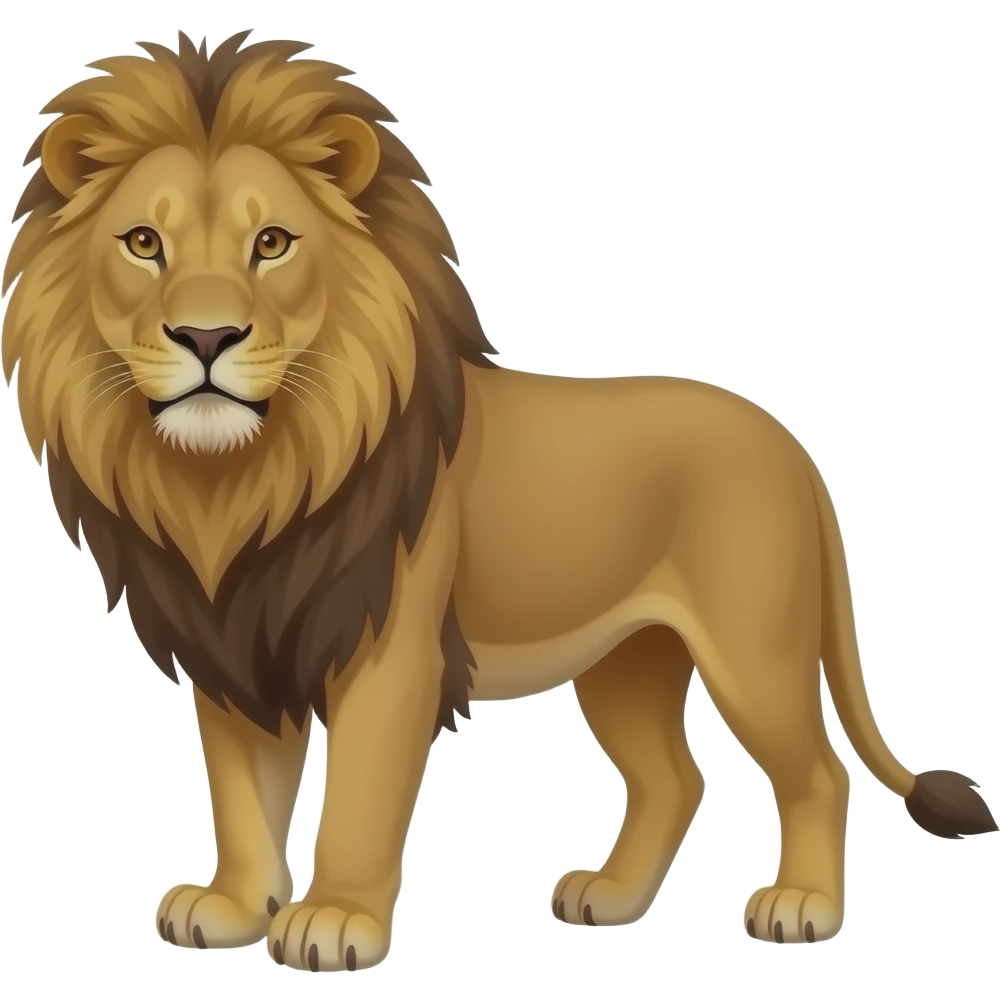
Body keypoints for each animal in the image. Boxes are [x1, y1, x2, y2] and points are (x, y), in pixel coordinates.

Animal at [2, 30, 995, 972]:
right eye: (144, 243)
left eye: (272, 243)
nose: (206, 335)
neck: (240, 481)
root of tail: (793, 448)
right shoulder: (239, 641)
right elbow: (245, 794)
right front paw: (234, 906)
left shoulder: (389, 652)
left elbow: (359, 795)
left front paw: (336, 920)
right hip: (627, 659)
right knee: (675, 778)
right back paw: (610, 898)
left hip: (756, 648)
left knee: (818, 772)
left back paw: (802, 907)